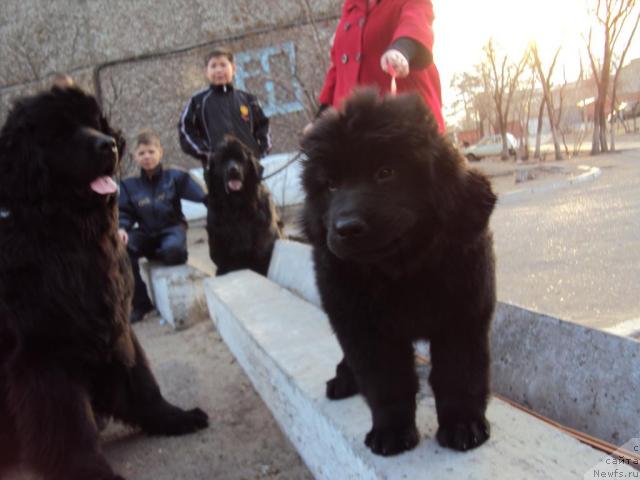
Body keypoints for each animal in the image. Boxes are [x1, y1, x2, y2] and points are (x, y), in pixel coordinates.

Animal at [0, 86, 208, 480]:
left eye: (94, 122)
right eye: (59, 131)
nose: (108, 144)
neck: (67, 238)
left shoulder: (112, 321)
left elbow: (141, 380)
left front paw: (172, 417)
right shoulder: (43, 352)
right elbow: (66, 420)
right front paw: (87, 469)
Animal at [302, 91, 500, 458]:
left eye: (386, 172)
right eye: (331, 185)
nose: (346, 228)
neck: (400, 272)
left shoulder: (464, 317)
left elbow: (460, 373)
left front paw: (463, 425)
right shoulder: (364, 329)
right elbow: (385, 382)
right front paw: (391, 431)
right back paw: (343, 379)